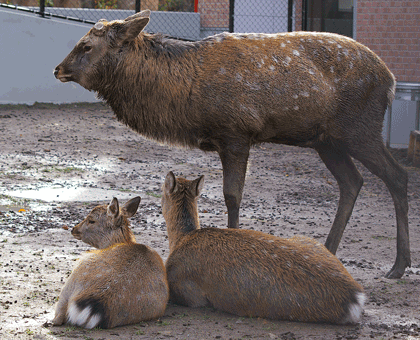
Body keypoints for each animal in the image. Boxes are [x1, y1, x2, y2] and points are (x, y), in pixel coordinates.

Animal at [53, 9, 410, 278]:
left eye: (86, 46)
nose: (58, 69)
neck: (184, 96)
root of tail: (391, 81)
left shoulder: (236, 133)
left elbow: (232, 197)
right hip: (327, 141)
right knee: (352, 181)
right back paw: (330, 251)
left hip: (360, 128)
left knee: (397, 175)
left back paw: (398, 266)